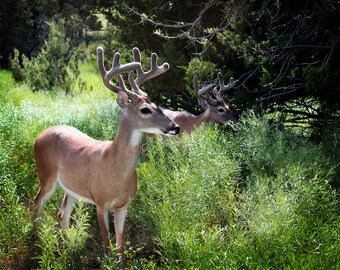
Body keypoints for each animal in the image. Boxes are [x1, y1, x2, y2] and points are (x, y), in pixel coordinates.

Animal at [30, 47, 181, 264]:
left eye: (158, 106)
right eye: (145, 109)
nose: (175, 127)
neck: (115, 169)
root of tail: (39, 135)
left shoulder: (123, 205)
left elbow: (120, 245)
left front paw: (121, 264)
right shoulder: (100, 203)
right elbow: (107, 245)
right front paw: (107, 263)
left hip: (71, 188)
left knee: (62, 214)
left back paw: (71, 250)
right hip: (46, 176)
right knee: (36, 205)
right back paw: (40, 242)